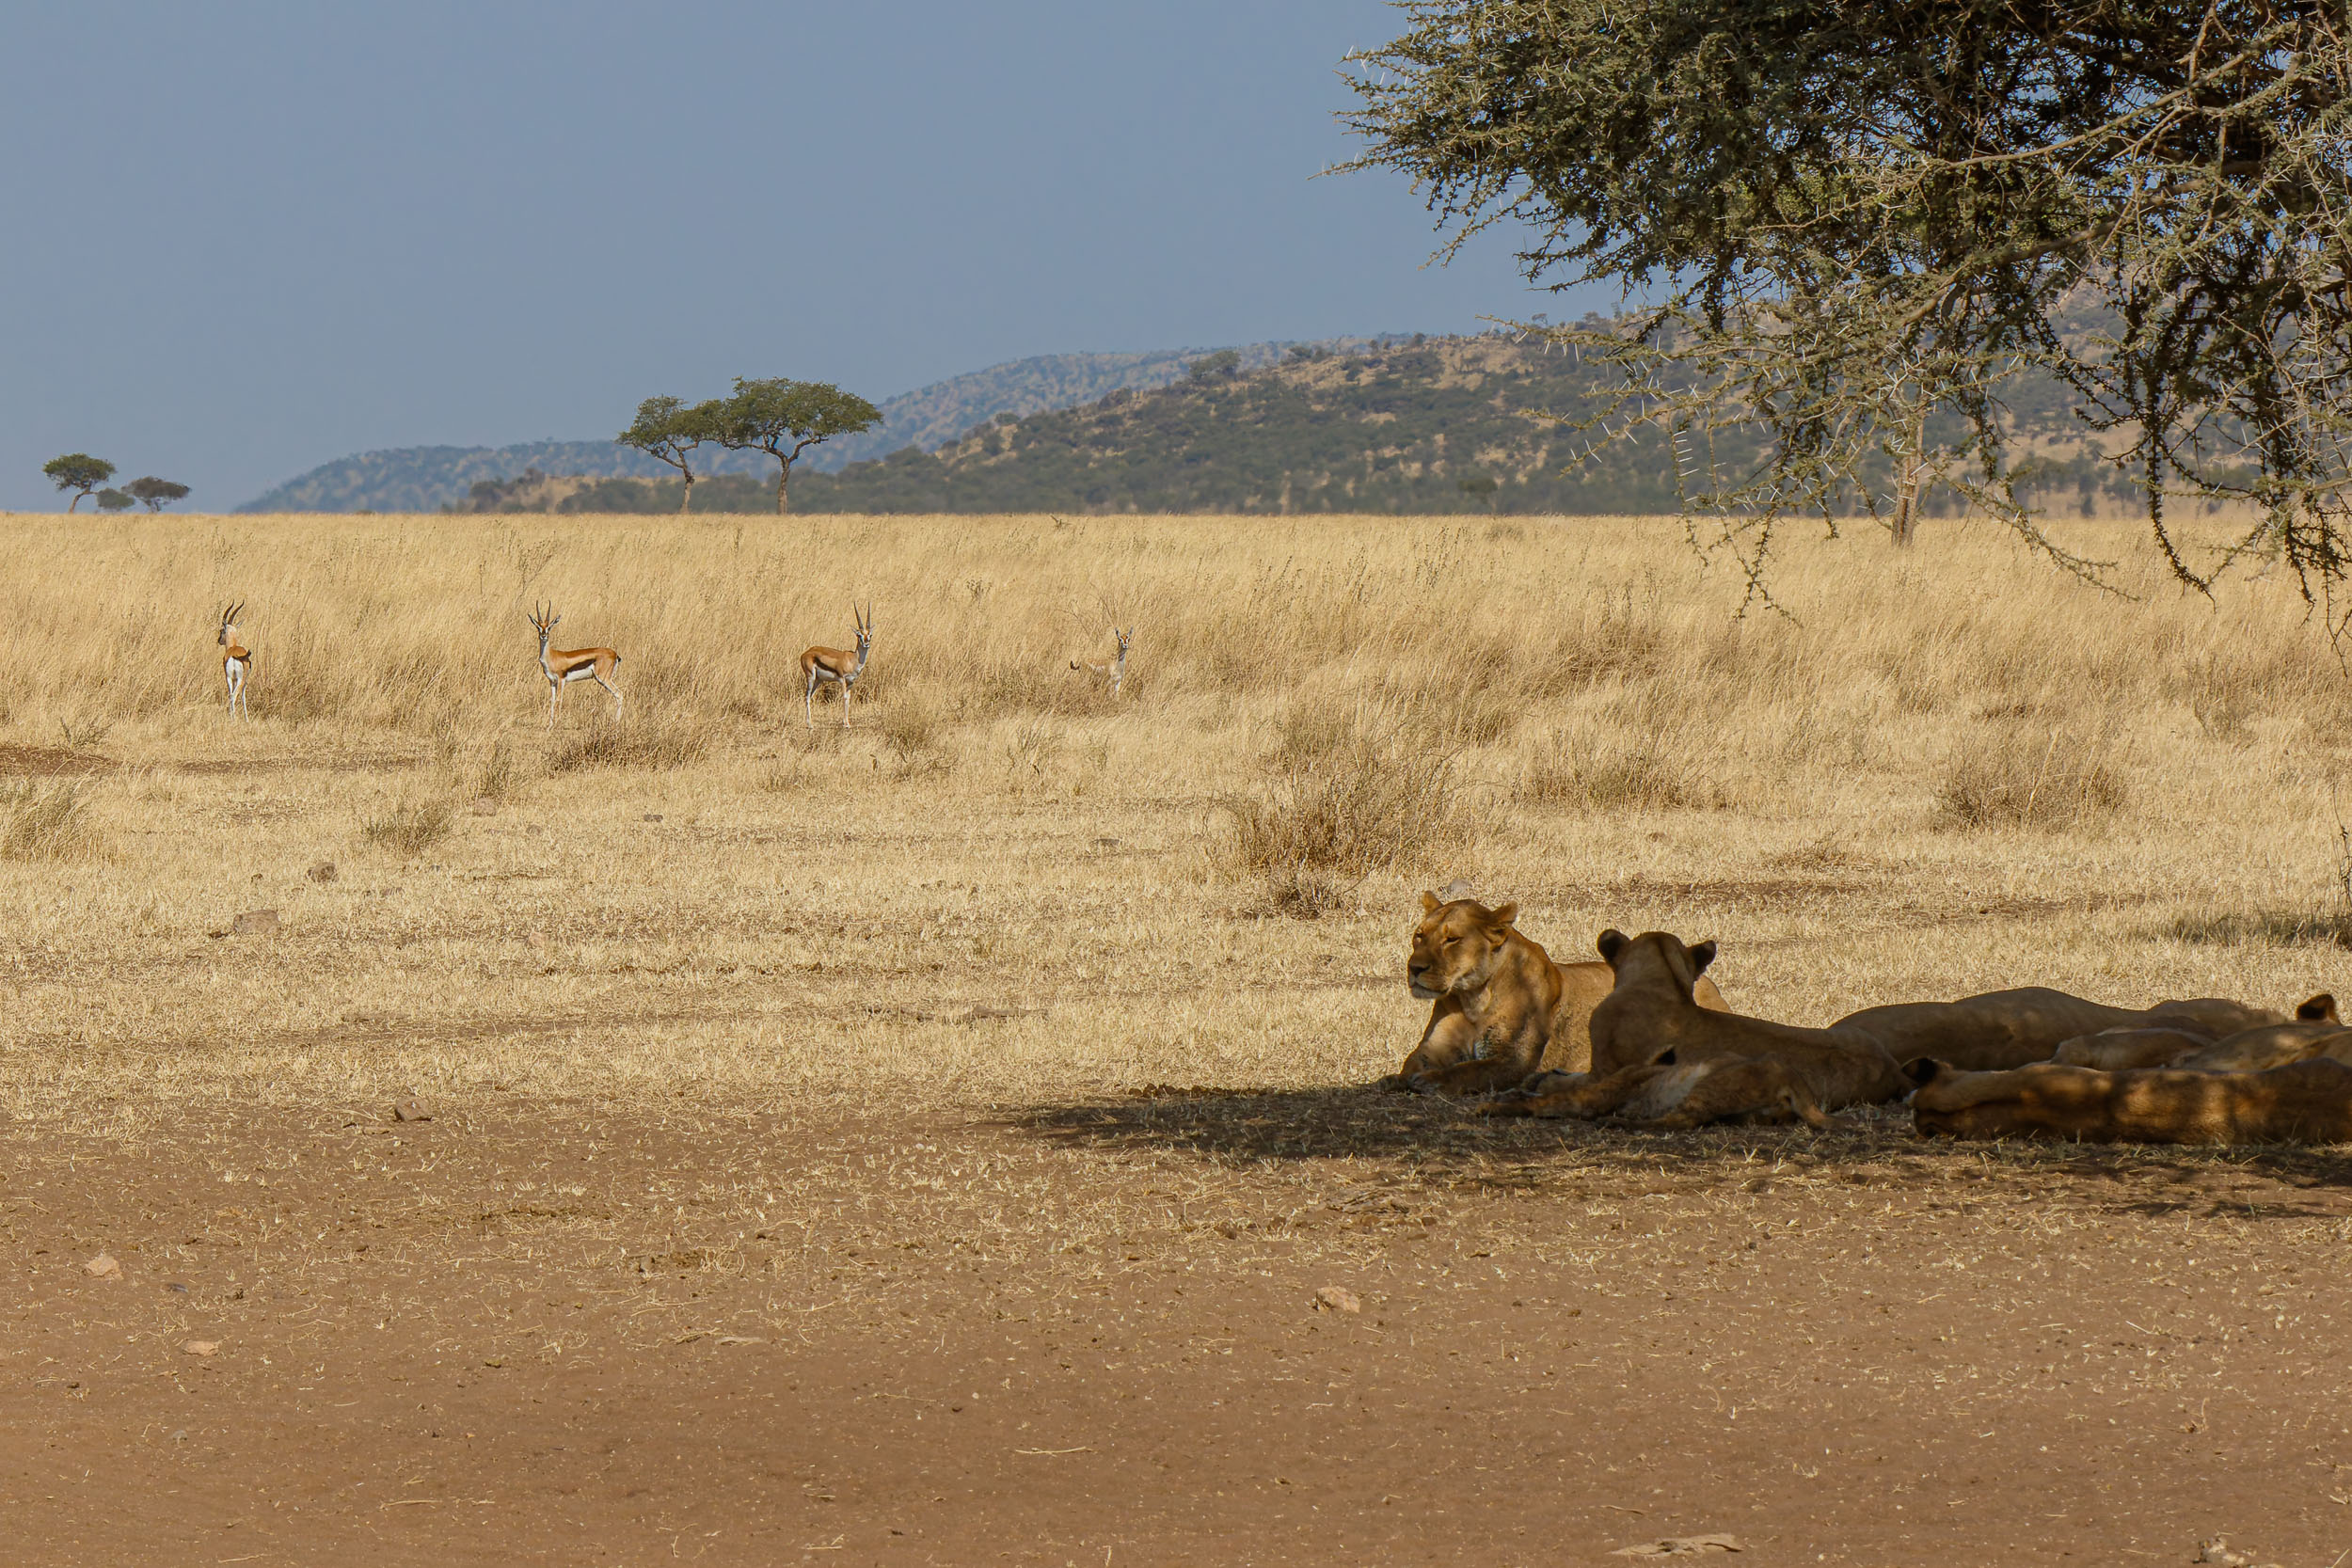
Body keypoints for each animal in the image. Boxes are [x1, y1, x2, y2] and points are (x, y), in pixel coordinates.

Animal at [1392, 895, 1727, 1095]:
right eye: (1419, 935)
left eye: (1452, 939)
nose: (1414, 968)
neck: (1474, 998)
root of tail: (1708, 983)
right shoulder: (1432, 1049)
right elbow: (1409, 1064)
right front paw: (1396, 1079)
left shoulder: (1513, 1062)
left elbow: (1468, 1071)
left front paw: (1432, 1081)